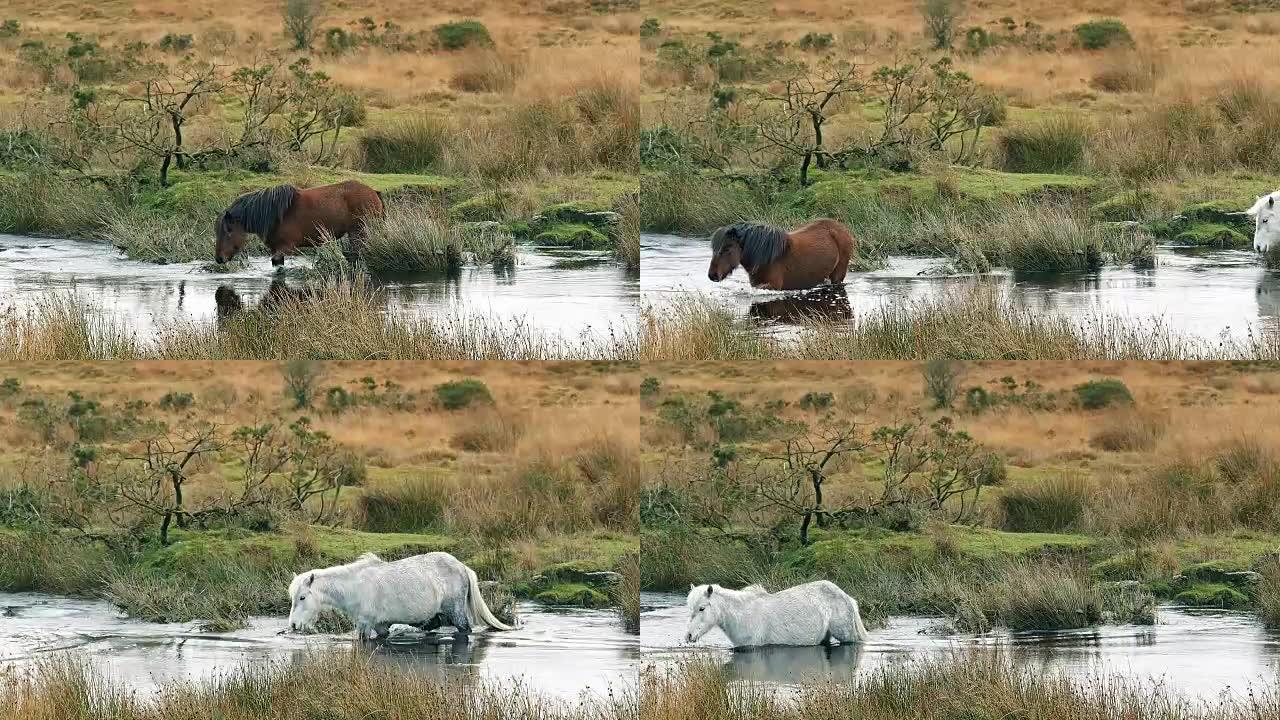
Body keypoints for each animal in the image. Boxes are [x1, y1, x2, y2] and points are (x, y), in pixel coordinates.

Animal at [215, 179, 381, 266]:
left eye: (229, 230)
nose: (219, 259)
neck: (275, 215)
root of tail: (374, 192)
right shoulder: (276, 250)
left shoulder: (284, 248)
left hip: (358, 234)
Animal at [288, 550, 512, 635]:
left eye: (302, 597)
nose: (293, 625)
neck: (355, 587)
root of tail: (462, 566)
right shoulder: (379, 626)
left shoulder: (365, 624)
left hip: (456, 613)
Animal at [686, 579, 865, 648]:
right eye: (690, 609)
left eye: (701, 608)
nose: (689, 636)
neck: (743, 615)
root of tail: (846, 596)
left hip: (846, 635)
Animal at [706, 217, 855, 289]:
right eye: (713, 249)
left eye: (727, 248)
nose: (712, 275)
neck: (765, 258)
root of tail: (842, 229)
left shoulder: (772, 286)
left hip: (838, 275)